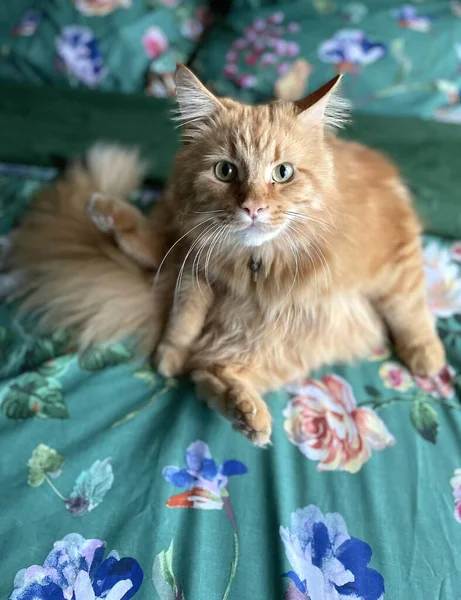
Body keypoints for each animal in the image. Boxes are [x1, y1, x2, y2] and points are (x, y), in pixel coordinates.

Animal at [9, 68, 444, 448]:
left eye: (282, 173)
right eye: (225, 171)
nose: (252, 207)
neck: (259, 262)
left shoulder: (396, 254)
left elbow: (409, 311)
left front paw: (427, 358)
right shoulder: (196, 268)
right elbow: (183, 320)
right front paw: (169, 356)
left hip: (287, 345)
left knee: (208, 372)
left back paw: (245, 412)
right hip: (186, 243)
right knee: (162, 267)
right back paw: (105, 211)